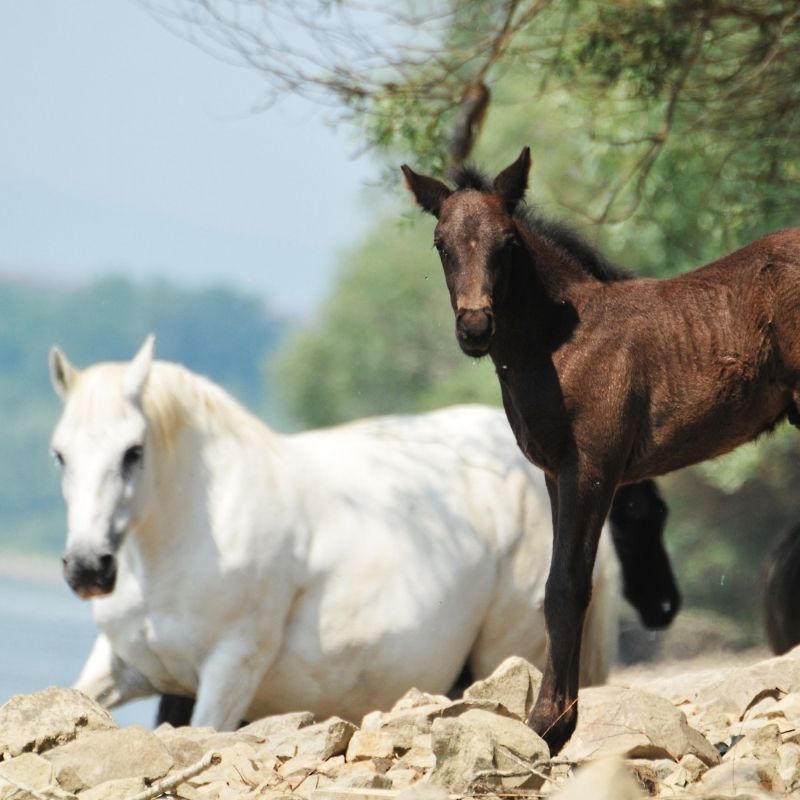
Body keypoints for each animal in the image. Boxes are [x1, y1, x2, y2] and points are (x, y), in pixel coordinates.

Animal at [50, 335, 627, 731]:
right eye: (60, 453)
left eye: (133, 452)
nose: (87, 567)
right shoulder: (120, 667)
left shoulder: (228, 674)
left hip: (510, 652)